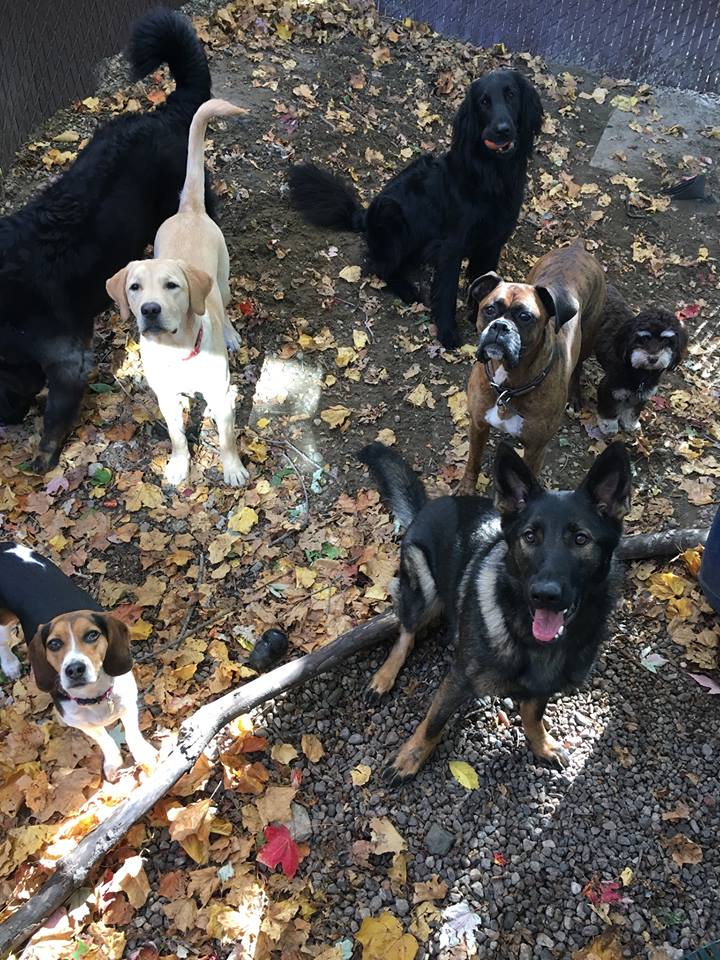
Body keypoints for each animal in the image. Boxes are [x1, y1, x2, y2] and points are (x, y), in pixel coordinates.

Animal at [286, 70, 540, 348]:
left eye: (511, 94)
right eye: (484, 102)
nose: (502, 130)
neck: (491, 177)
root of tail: (363, 215)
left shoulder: (492, 241)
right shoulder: (452, 245)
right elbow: (447, 291)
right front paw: (448, 333)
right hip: (391, 215)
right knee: (378, 266)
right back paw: (408, 290)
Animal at [358, 438, 632, 784]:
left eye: (581, 539)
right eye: (530, 536)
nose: (544, 595)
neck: (531, 639)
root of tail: (425, 508)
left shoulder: (541, 687)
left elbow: (533, 715)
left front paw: (543, 745)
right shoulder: (457, 679)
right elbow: (433, 722)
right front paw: (410, 757)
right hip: (424, 588)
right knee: (406, 631)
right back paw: (385, 676)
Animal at [458, 239, 604, 496]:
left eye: (525, 317)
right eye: (489, 309)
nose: (500, 326)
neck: (508, 386)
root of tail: (576, 248)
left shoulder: (536, 449)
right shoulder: (478, 426)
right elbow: (473, 462)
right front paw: (467, 490)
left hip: (588, 336)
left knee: (578, 366)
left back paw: (575, 397)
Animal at [592, 284, 688, 436]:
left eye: (666, 340)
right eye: (643, 339)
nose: (653, 359)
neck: (641, 373)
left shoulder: (641, 395)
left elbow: (632, 412)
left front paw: (630, 425)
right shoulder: (610, 389)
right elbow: (609, 411)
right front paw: (609, 427)